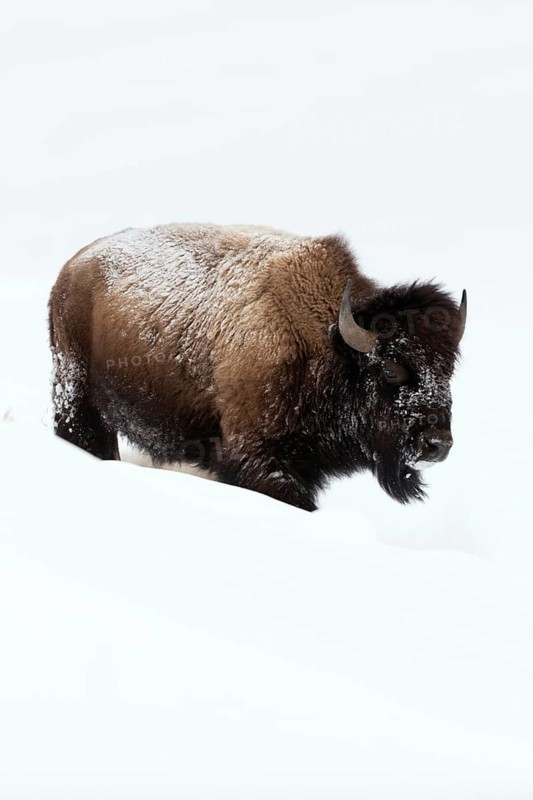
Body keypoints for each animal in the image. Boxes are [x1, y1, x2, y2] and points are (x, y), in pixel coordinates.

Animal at [49, 223, 466, 510]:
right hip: (77, 397)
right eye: (392, 368)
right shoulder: (256, 458)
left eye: (448, 371)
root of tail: (72, 268)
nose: (437, 445)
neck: (327, 342)